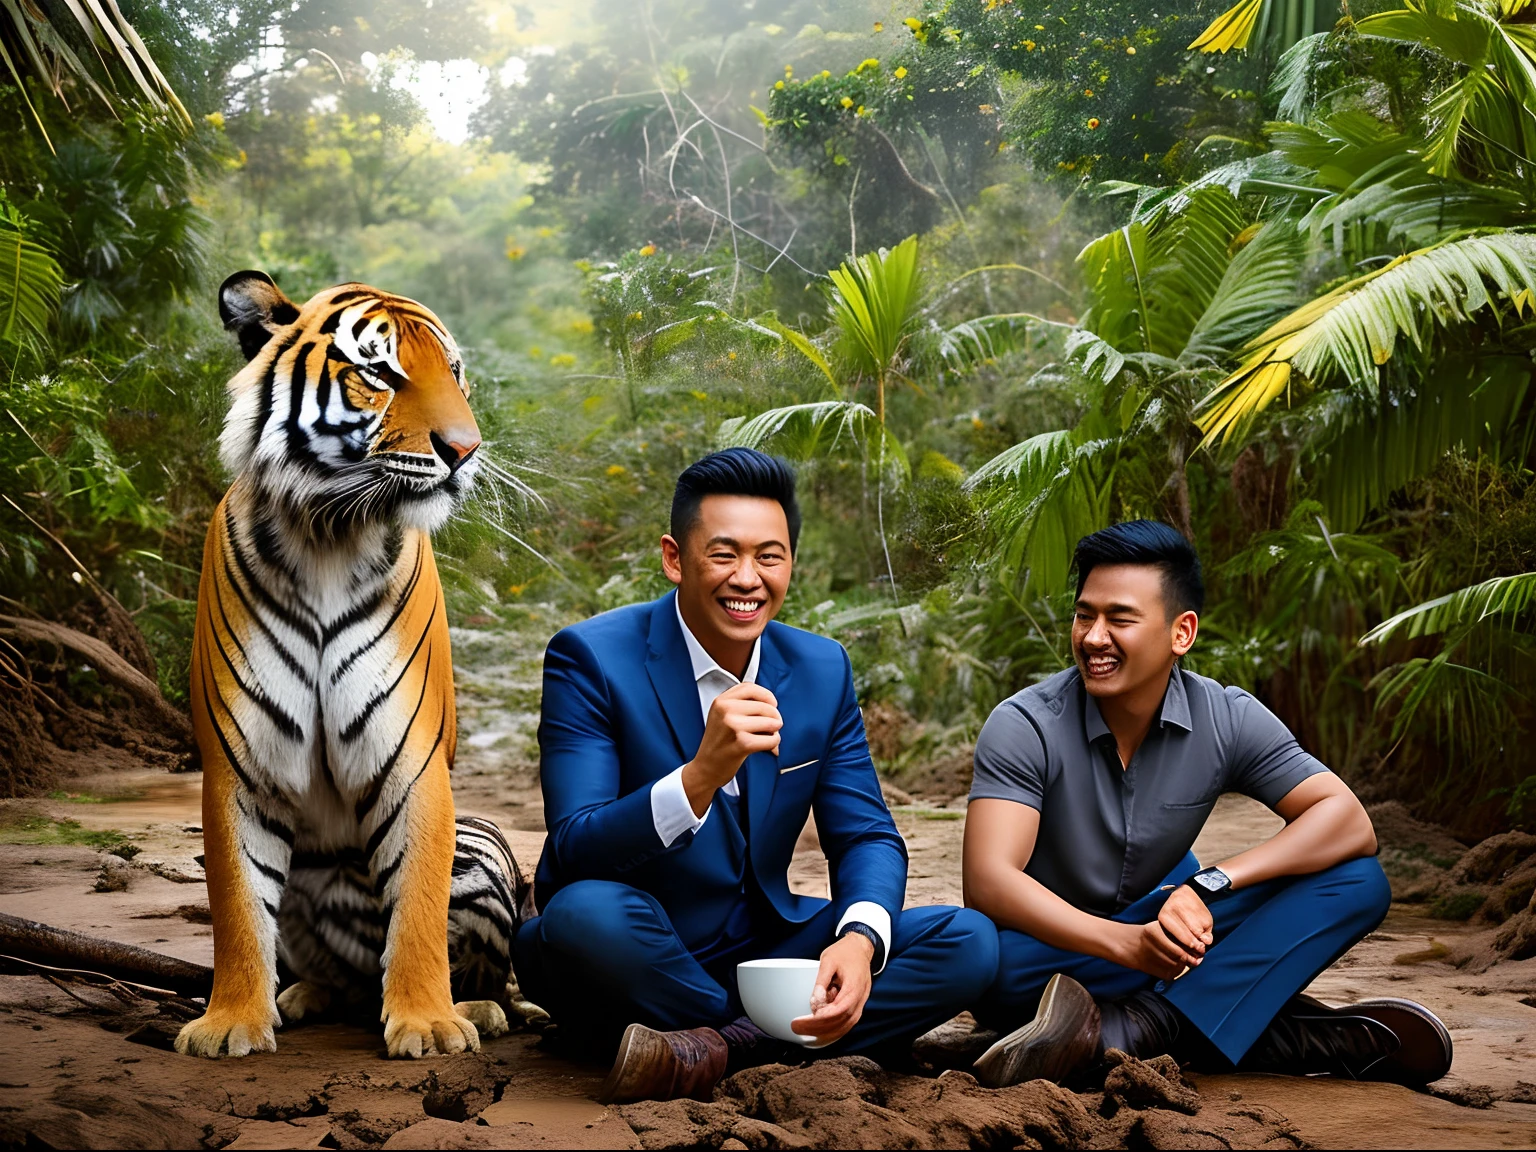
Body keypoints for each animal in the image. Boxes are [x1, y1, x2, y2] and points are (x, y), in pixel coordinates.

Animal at [175, 273, 528, 1062]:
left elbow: (417, 902)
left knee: (499, 978)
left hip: (484, 858)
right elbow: (237, 906)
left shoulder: (413, 753)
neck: (328, 534)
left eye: (454, 372)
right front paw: (230, 1022)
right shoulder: (239, 763)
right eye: (380, 374)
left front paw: (430, 1024)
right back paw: (305, 996)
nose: (466, 449)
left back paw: (480, 1008)